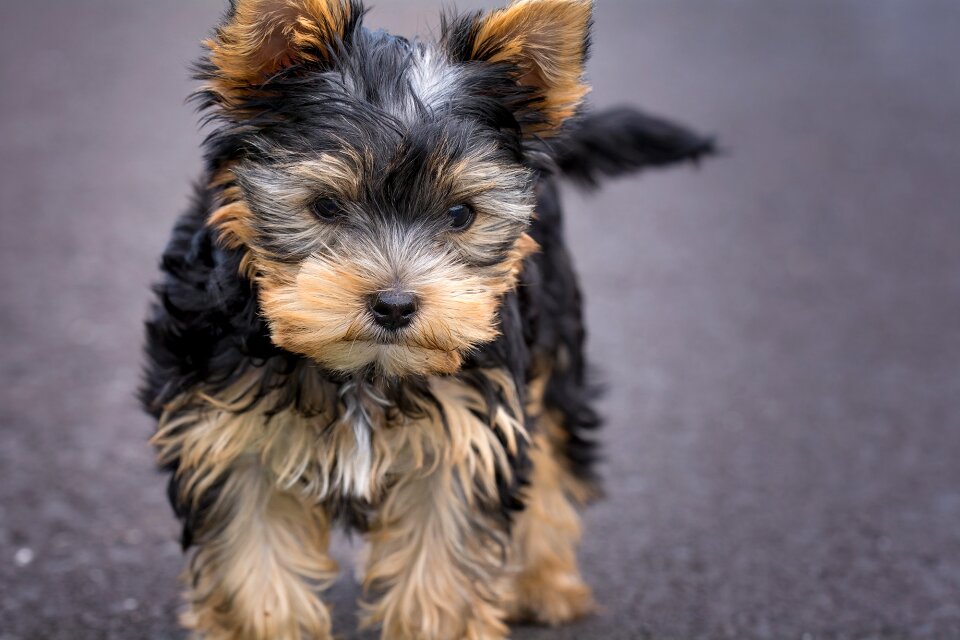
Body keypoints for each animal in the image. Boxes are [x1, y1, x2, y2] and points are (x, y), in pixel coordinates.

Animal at [141, 1, 712, 636]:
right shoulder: (231, 439)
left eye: (461, 214)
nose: (394, 305)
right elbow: (253, 572)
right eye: (325, 206)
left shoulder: (466, 438)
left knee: (553, 451)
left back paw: (544, 583)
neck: (363, 372)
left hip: (555, 335)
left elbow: (441, 573)